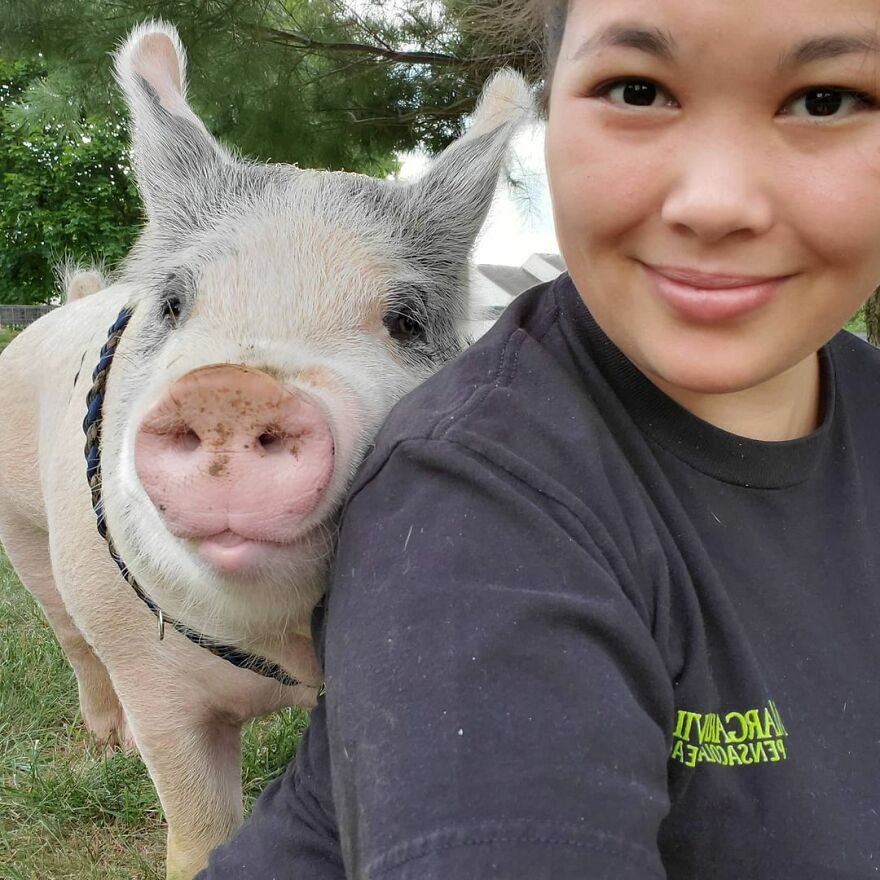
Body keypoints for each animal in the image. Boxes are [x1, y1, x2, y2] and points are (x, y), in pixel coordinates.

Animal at [0, 19, 531, 880]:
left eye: (407, 320)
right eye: (173, 304)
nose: (231, 389)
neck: (274, 656)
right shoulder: (151, 676)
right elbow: (195, 825)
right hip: (26, 535)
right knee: (69, 635)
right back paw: (108, 745)